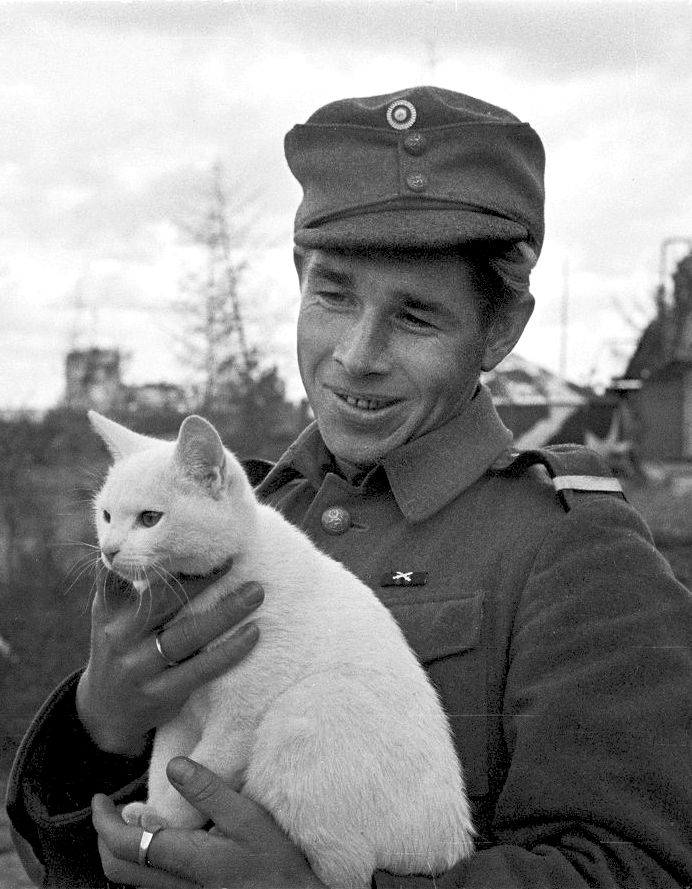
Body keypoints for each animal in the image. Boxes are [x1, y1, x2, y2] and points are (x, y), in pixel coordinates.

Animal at [88, 410, 474, 888]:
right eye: (105, 515)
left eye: (149, 518)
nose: (109, 550)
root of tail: (450, 848)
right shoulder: (179, 711)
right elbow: (166, 765)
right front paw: (155, 812)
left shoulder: (242, 717)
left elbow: (196, 769)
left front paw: (167, 821)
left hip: (304, 713)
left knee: (345, 873)